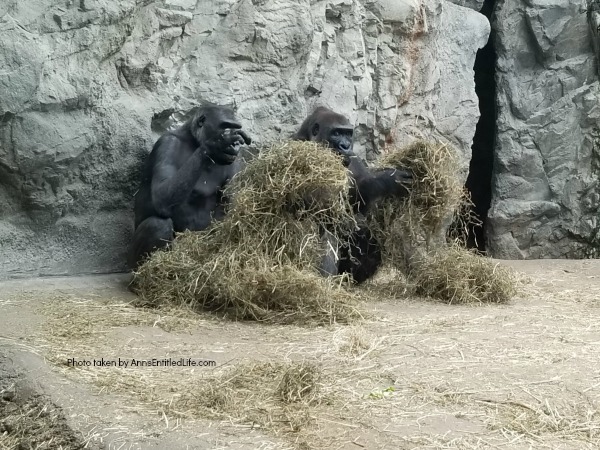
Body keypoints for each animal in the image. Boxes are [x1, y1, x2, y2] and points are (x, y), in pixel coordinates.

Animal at [129, 103, 251, 268]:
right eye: (225, 127)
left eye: (236, 128)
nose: (235, 143)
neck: (193, 140)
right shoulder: (167, 143)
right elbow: (161, 196)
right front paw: (214, 145)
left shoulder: (235, 160)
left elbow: (233, 210)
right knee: (157, 225)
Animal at [292, 106, 410, 282]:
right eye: (336, 133)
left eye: (348, 134)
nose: (345, 145)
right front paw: (389, 179)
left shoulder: (353, 158)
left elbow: (360, 202)